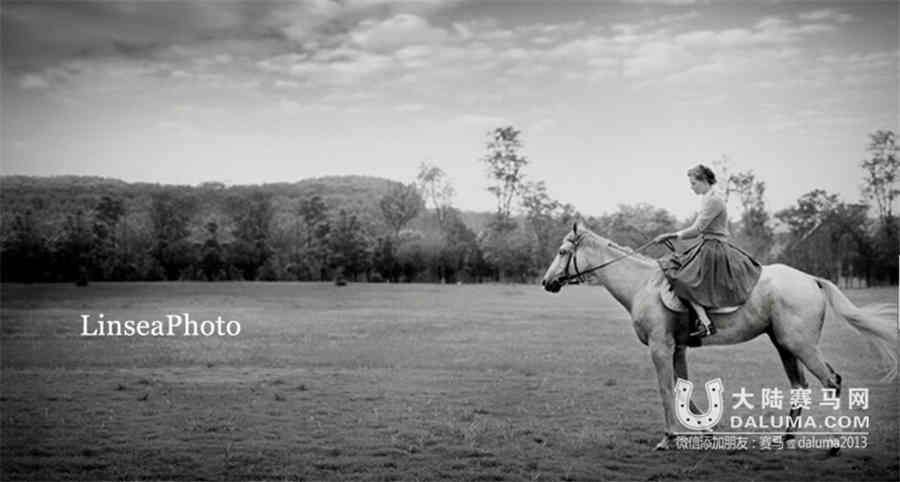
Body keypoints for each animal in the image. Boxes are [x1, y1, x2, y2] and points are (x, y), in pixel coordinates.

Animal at [540, 222, 898, 450]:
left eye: (562, 251)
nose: (546, 283)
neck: (642, 285)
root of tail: (811, 279)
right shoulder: (678, 349)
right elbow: (684, 390)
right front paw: (707, 431)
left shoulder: (660, 347)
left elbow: (666, 389)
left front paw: (669, 437)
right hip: (784, 344)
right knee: (801, 387)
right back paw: (786, 438)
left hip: (802, 345)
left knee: (831, 382)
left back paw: (835, 443)